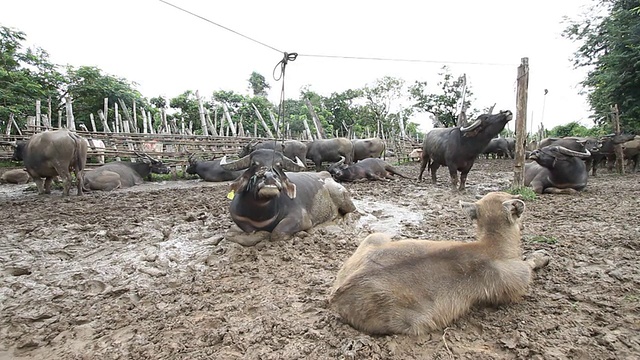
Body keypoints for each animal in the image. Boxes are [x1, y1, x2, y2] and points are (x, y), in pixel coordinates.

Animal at [218, 148, 352, 246]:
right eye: (254, 164)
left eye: (279, 165)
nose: (270, 177)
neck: (260, 214)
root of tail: (326, 175)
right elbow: (232, 234)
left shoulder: (301, 219)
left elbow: (276, 233)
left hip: (341, 195)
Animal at [330, 193, 552, 336]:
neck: (492, 245)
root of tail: (336, 294)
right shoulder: (516, 281)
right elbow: (528, 266)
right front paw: (542, 255)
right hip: (414, 322)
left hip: (376, 236)